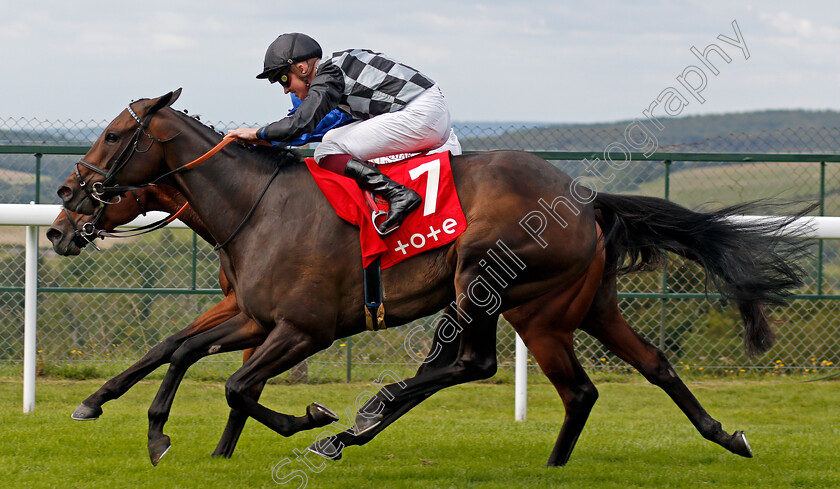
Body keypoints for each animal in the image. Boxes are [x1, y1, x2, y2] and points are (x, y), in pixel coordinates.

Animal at [55, 89, 812, 468]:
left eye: (115, 134)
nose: (62, 216)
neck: (256, 206)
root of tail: (586, 198)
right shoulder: (251, 312)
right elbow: (177, 348)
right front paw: (123, 413)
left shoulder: (304, 327)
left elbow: (238, 385)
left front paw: (309, 417)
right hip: (580, 305)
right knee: (642, 367)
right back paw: (716, 437)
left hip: (500, 288)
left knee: (488, 366)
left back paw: (354, 429)